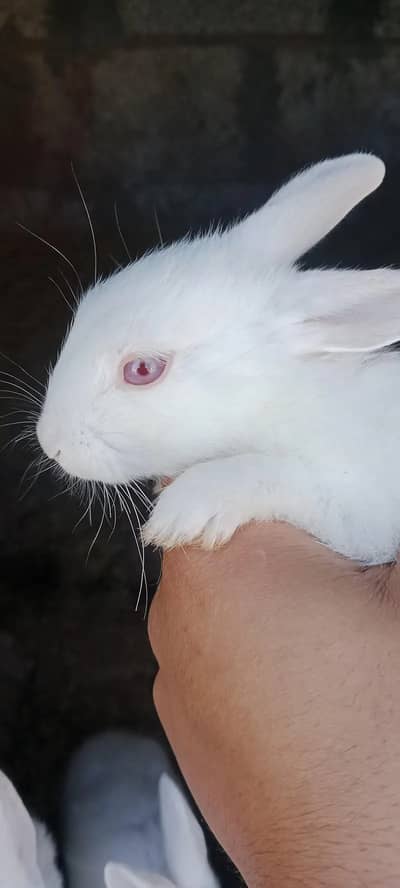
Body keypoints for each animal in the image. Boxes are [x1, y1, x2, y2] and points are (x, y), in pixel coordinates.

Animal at [36, 151, 400, 564]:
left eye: (143, 370)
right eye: (87, 305)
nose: (51, 443)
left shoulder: (362, 515)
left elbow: (287, 478)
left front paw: (185, 510)